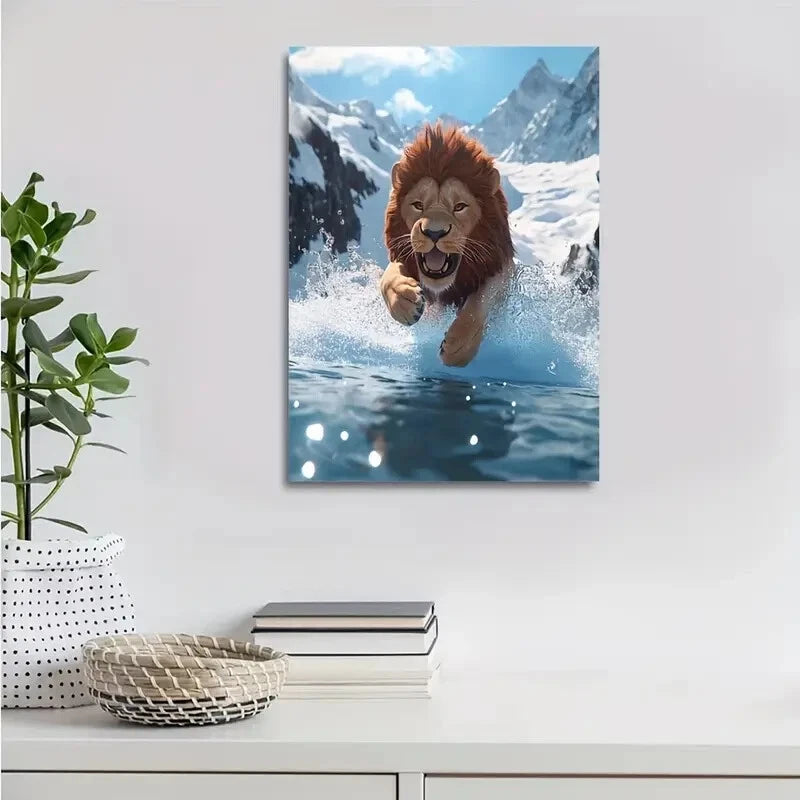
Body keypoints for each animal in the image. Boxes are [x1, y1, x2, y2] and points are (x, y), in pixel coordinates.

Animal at [381, 123, 514, 367]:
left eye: (460, 206)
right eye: (418, 205)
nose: (434, 232)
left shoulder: (501, 269)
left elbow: (480, 303)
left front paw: (457, 347)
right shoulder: (402, 255)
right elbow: (388, 276)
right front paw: (404, 300)